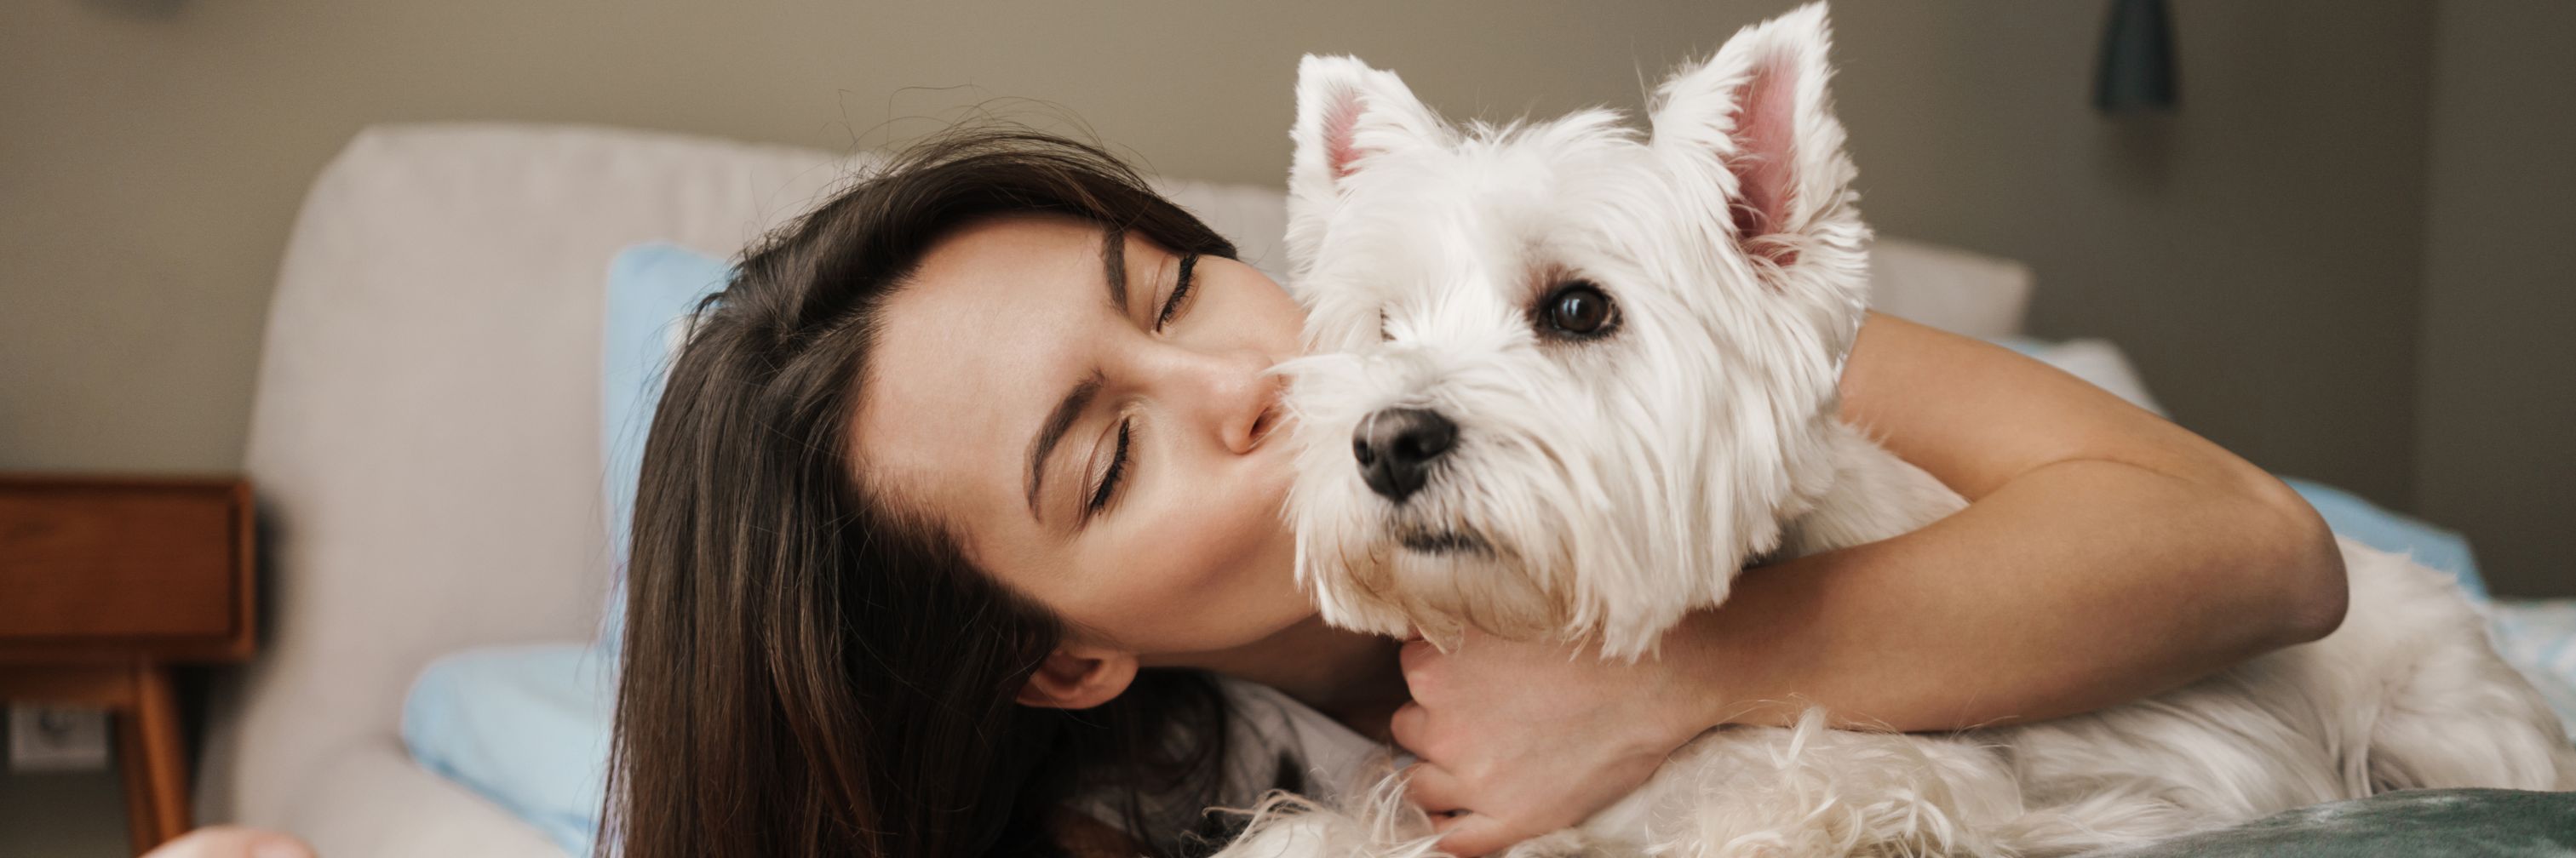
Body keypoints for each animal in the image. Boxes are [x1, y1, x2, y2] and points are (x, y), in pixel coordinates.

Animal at [1231, 3, 2576, 849]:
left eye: (1576, 308)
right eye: (1384, 327)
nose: (1386, 442)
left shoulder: (1956, 788)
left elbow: (1786, 812)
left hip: (2448, 717)